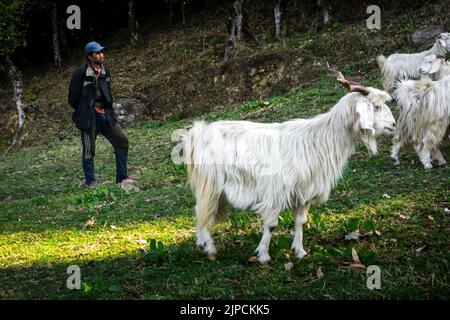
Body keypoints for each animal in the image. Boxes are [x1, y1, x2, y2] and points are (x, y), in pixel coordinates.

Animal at [181, 73, 396, 264]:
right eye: (376, 107)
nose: (394, 125)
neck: (321, 139)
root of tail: (198, 132)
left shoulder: (303, 193)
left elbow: (300, 222)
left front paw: (300, 252)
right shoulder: (275, 193)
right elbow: (272, 224)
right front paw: (263, 256)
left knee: (201, 210)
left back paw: (201, 244)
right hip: (211, 183)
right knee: (205, 210)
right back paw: (210, 249)